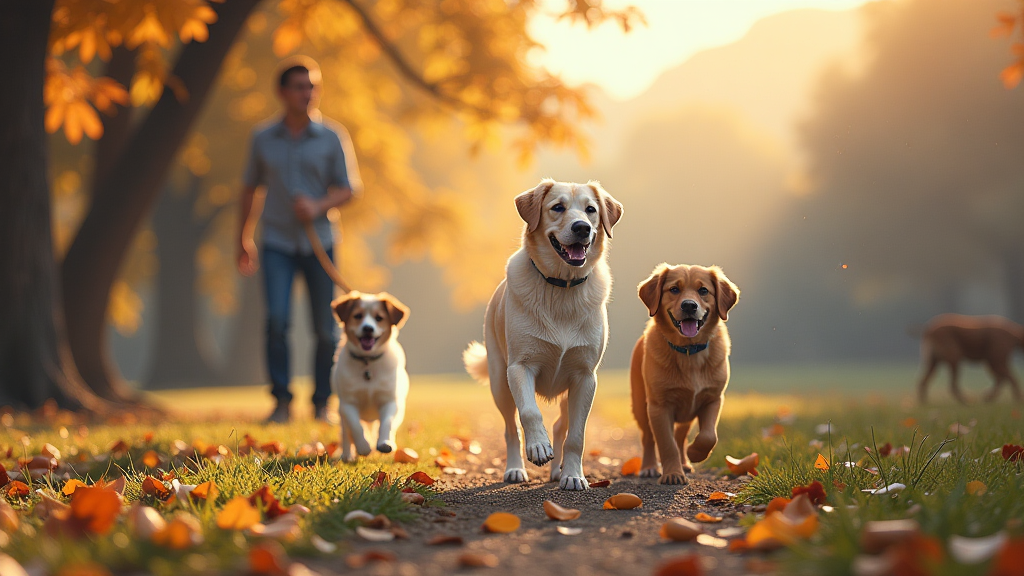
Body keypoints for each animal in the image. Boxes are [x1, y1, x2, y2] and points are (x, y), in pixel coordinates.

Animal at [327, 289, 407, 459]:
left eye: (379, 318)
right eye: (358, 316)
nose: (368, 328)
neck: (368, 362)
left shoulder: (390, 401)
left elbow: (387, 422)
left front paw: (385, 442)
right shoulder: (347, 404)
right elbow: (356, 427)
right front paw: (363, 447)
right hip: (342, 415)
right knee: (346, 434)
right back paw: (347, 455)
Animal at [466, 178, 622, 487]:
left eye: (591, 210)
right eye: (557, 207)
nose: (582, 228)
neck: (561, 286)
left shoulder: (585, 377)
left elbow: (576, 436)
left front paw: (573, 475)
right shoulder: (520, 367)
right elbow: (529, 412)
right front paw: (538, 447)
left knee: (562, 425)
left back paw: (559, 471)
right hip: (499, 383)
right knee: (510, 429)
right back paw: (515, 469)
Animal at [626, 264, 741, 483]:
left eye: (703, 290)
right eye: (674, 289)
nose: (689, 306)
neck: (689, 352)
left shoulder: (713, 399)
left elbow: (708, 435)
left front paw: (695, 453)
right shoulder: (659, 406)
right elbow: (666, 444)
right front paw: (672, 474)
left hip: (686, 414)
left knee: (680, 436)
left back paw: (685, 462)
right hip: (641, 406)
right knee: (648, 438)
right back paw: (650, 467)